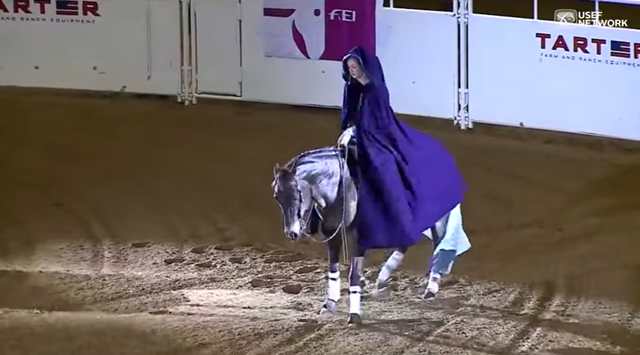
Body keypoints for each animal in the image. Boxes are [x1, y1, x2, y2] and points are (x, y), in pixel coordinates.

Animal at [270, 145, 470, 326]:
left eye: (296, 195)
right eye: (277, 197)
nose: (292, 233)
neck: (343, 189)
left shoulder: (360, 238)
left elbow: (354, 274)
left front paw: (354, 314)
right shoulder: (333, 234)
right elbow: (333, 268)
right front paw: (330, 304)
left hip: (436, 217)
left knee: (438, 243)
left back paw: (430, 289)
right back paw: (382, 281)